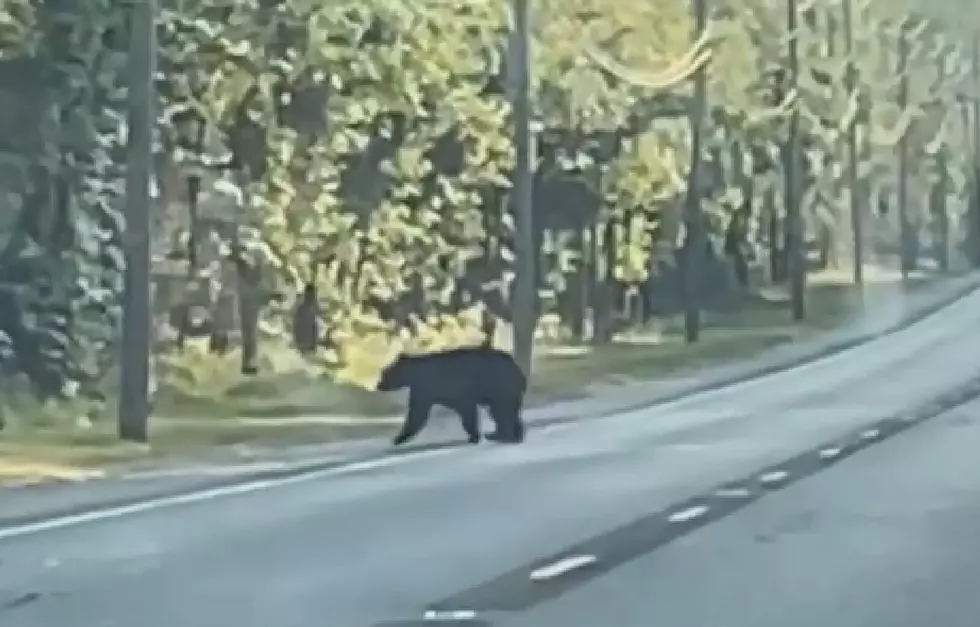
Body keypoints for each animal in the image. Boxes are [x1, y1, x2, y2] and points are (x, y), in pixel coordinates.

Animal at [376, 345, 527, 446]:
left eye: (384, 373)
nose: (378, 385)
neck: (414, 374)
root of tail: (518, 369)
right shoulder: (424, 391)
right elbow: (418, 412)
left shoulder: (435, 387)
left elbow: (418, 414)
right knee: (504, 412)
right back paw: (508, 434)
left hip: (500, 386)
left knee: (503, 411)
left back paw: (503, 436)